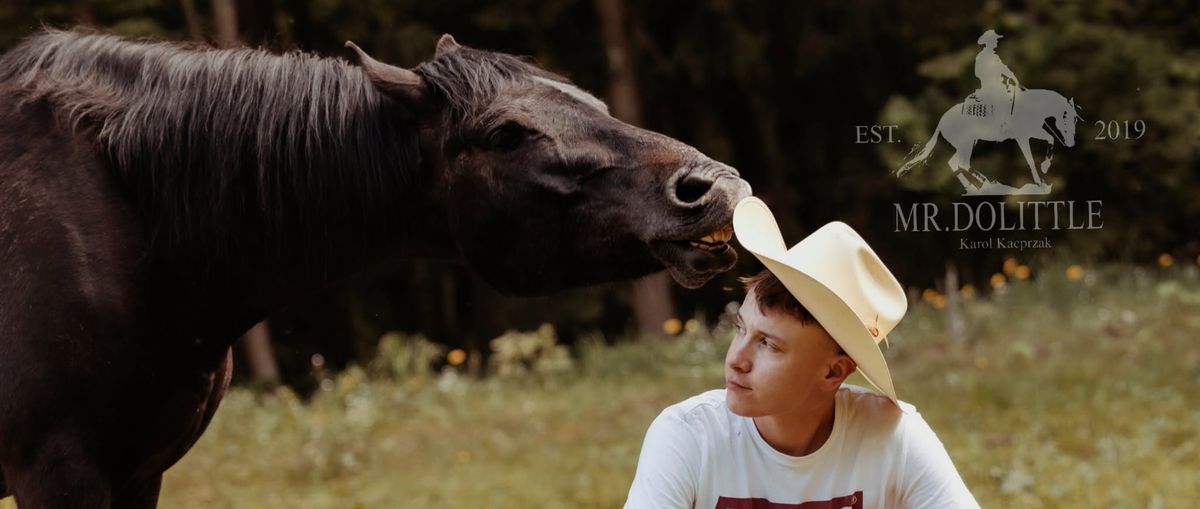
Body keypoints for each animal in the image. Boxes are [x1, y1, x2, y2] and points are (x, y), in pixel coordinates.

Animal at [897, 88, 1084, 193]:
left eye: (1075, 119)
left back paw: (973, 188)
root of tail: (942, 120)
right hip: (966, 144)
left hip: (966, 144)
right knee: (961, 163)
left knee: (954, 163)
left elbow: (1050, 138)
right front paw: (1039, 182)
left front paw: (1045, 167)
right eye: (1066, 118)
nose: (1071, 143)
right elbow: (1030, 160)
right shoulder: (1023, 136)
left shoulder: (1033, 132)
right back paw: (987, 183)